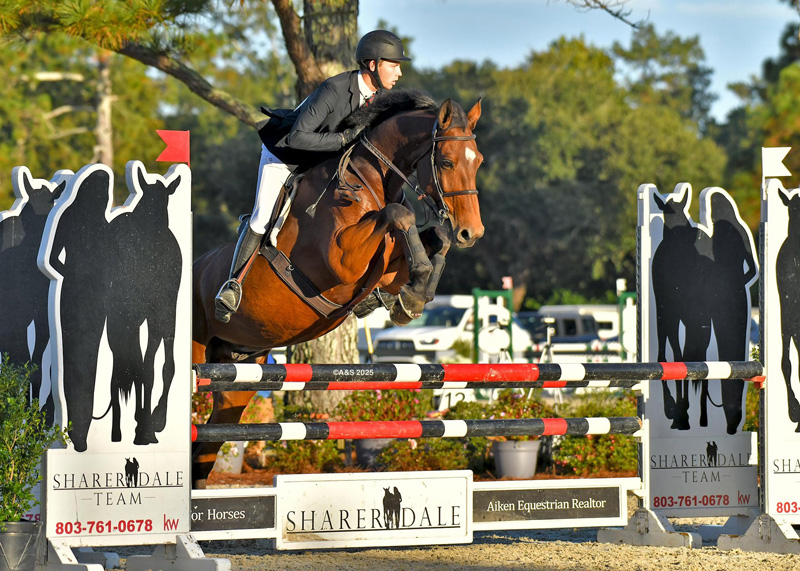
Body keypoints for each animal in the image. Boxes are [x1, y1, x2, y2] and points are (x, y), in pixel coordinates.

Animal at [191, 90, 484, 486]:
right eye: (448, 161)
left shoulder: (387, 267)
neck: (370, 182)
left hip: (240, 369)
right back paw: (227, 295)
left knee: (209, 439)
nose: (472, 233)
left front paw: (412, 297)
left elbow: (433, 237)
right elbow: (399, 214)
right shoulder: (341, 260)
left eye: (478, 161)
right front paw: (413, 294)